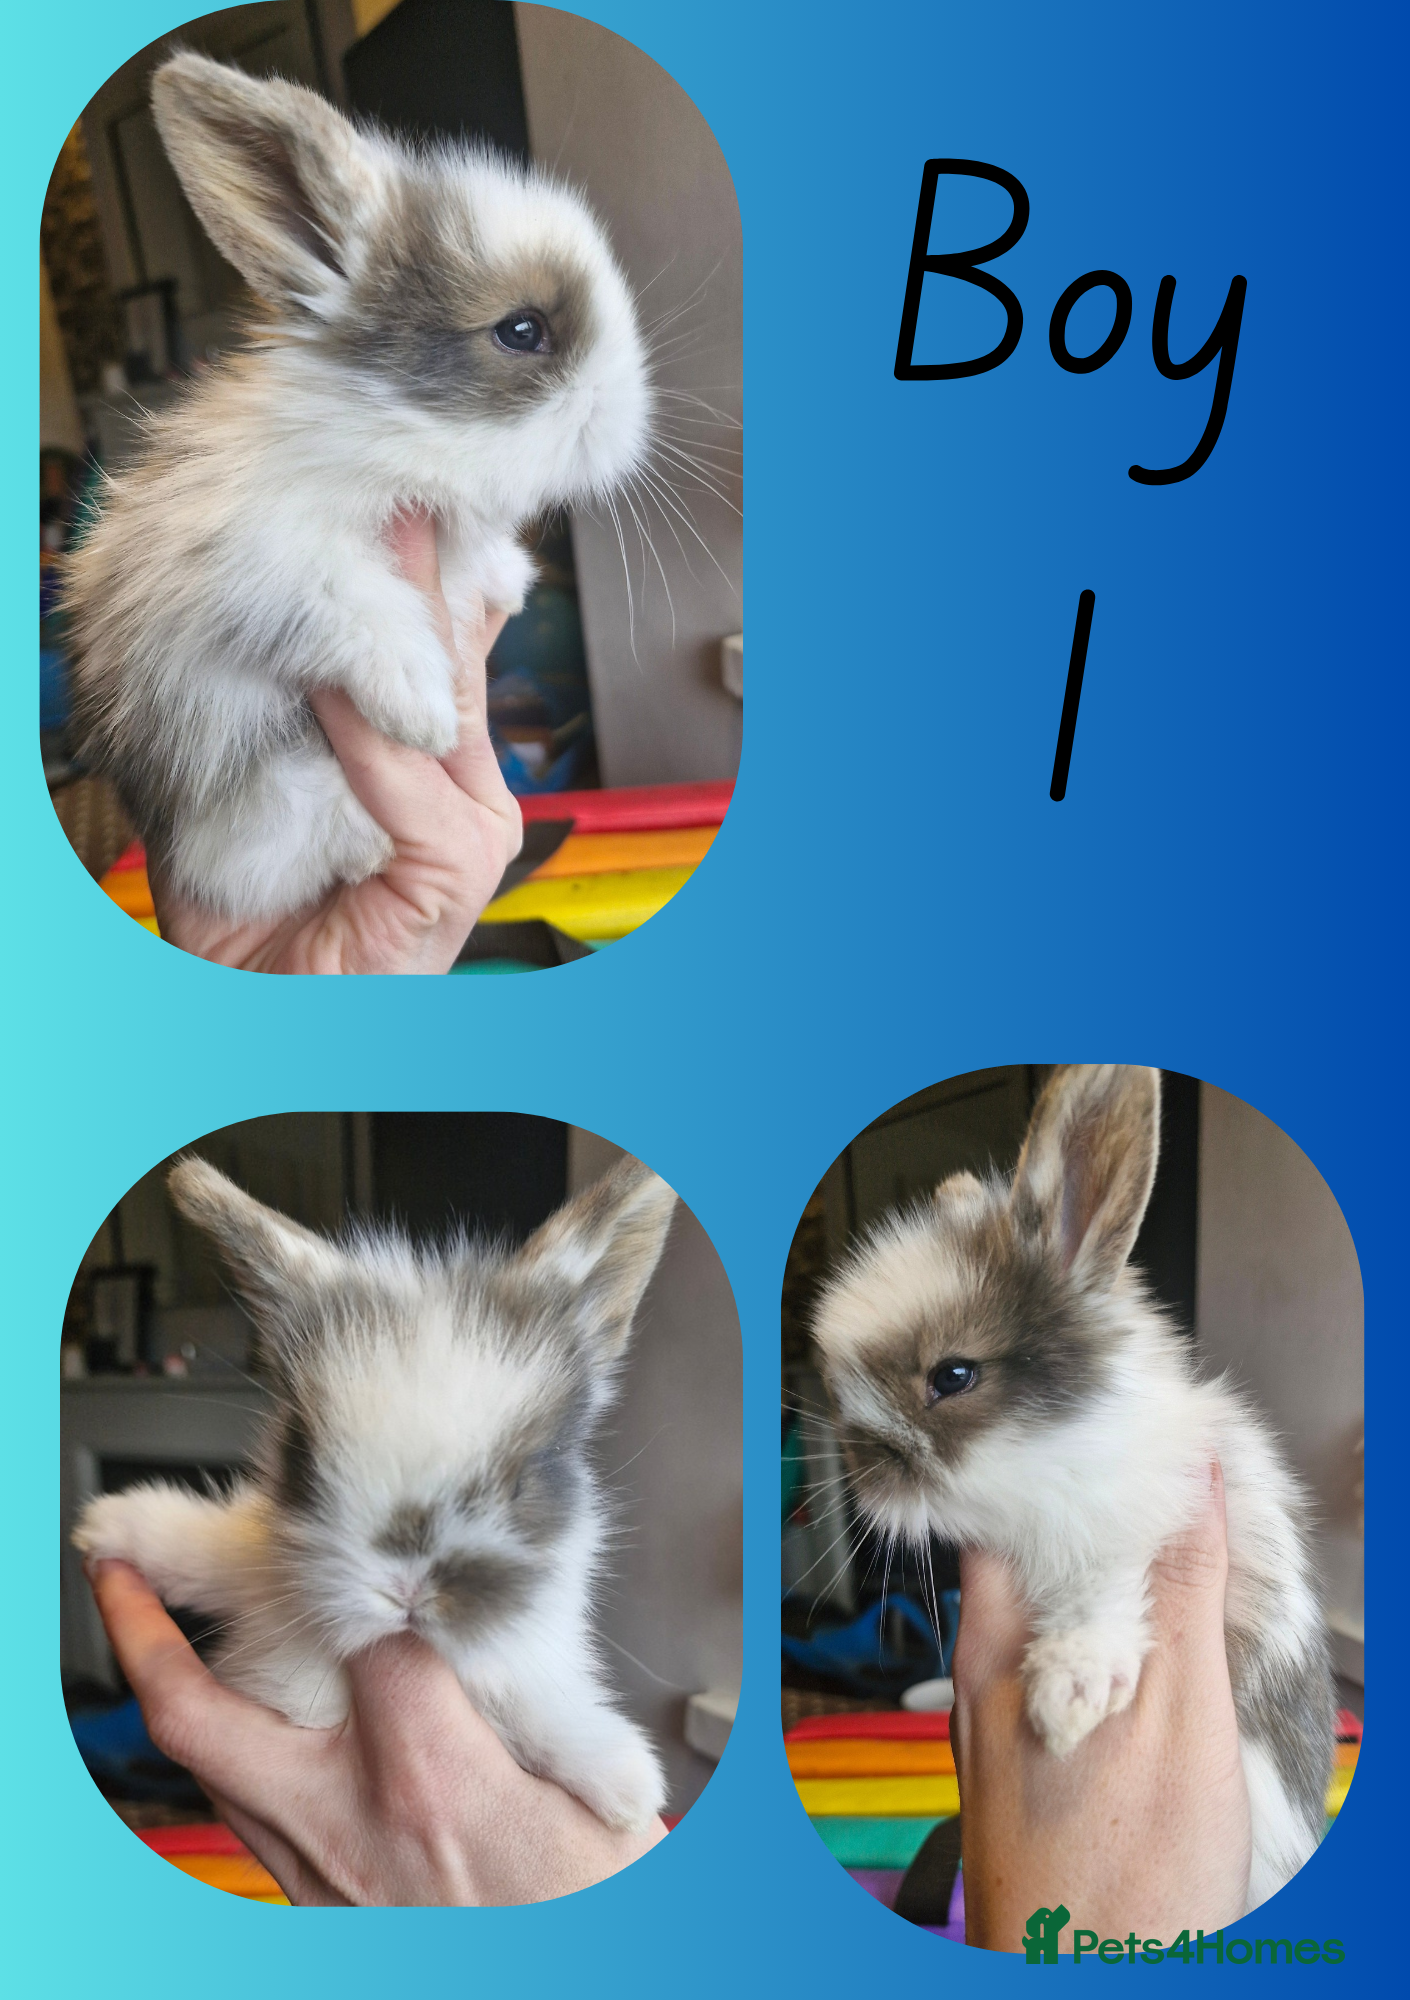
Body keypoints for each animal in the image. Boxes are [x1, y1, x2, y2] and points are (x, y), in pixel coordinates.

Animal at [65, 53, 652, 922]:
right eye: (522, 330)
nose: (632, 417)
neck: (392, 429)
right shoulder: (243, 557)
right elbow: (345, 597)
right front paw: (424, 711)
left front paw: (508, 582)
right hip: (259, 800)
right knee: (256, 868)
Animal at [74, 1153, 677, 1832]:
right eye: (304, 1456)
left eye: (524, 1478)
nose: (406, 1590)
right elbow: (205, 1553)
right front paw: (108, 1523)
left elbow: (521, 1707)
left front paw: (625, 1782)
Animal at [810, 1064, 1335, 1912]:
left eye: (953, 1375)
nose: (864, 1475)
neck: (1055, 1456)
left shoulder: (1137, 1521)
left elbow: (1099, 1590)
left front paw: (1064, 1703)